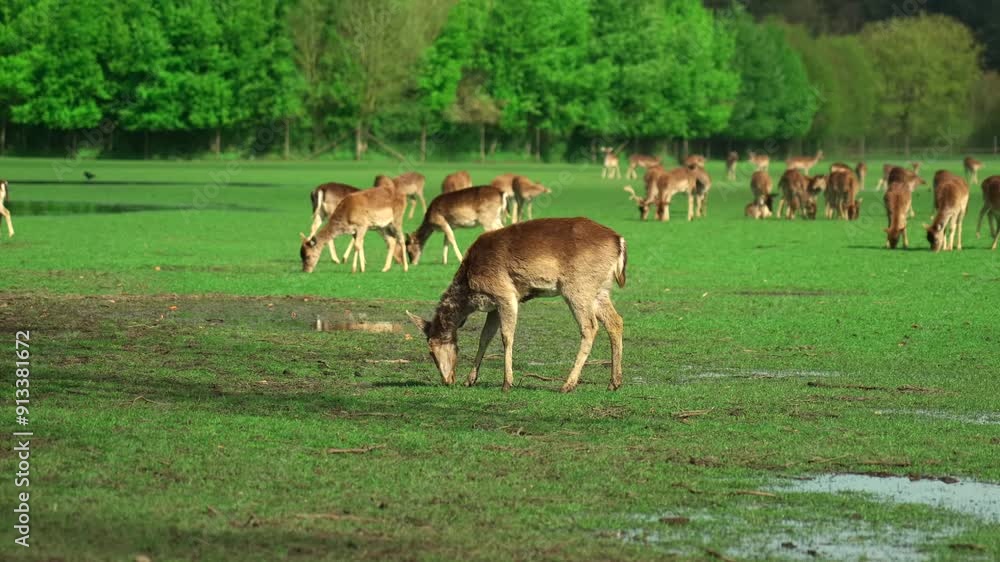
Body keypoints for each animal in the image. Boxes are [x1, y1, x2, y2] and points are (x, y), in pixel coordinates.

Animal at [406, 217, 626, 393]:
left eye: (431, 350)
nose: (447, 380)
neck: (469, 288)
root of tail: (619, 241)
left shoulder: (505, 294)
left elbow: (506, 336)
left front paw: (507, 383)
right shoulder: (493, 305)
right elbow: (484, 337)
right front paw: (470, 380)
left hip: (578, 287)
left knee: (590, 327)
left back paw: (567, 385)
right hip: (600, 290)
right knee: (616, 321)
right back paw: (614, 382)